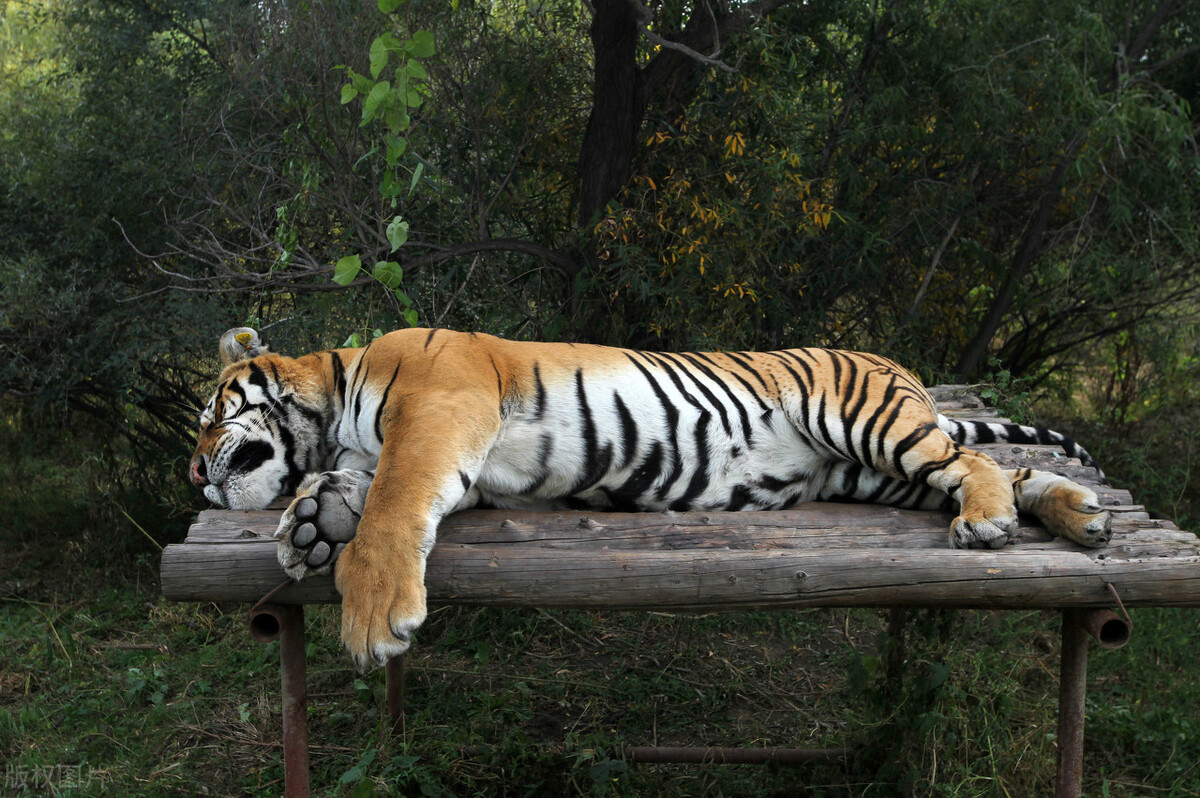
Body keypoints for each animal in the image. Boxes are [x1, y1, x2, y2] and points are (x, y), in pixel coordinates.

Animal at [187, 324, 1113, 667]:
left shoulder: (442, 410)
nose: (194, 474)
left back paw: (991, 524)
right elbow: (360, 490)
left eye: (207, 417)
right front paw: (312, 523)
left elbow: (392, 504)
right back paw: (1080, 517)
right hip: (874, 473)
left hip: (865, 422)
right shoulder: (454, 463)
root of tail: (901, 369)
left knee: (974, 462)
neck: (332, 402)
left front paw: (372, 615)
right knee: (1001, 469)